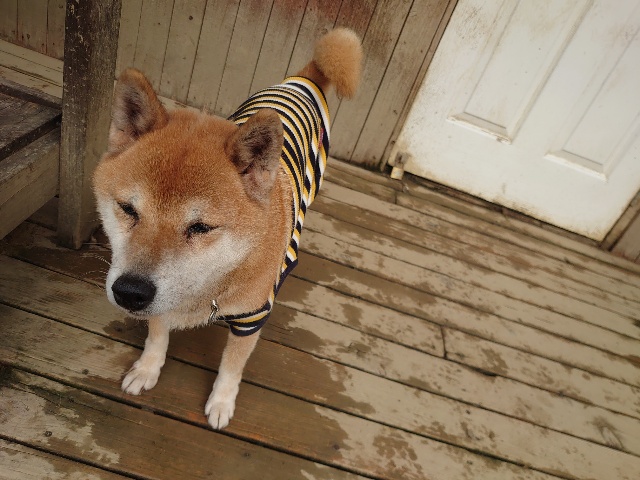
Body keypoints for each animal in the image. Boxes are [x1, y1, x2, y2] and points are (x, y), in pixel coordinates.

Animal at [93, 28, 362, 429]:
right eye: (128, 209)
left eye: (200, 227)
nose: (130, 292)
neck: (209, 286)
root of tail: (307, 76)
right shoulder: (160, 304)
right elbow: (157, 337)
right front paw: (147, 369)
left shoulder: (252, 318)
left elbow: (231, 368)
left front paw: (221, 403)